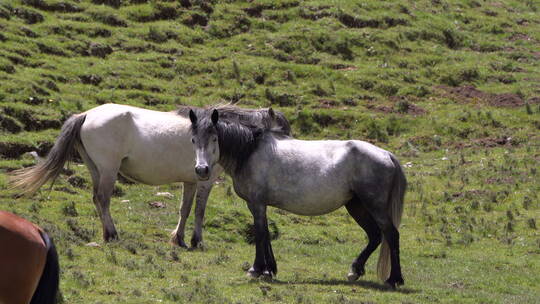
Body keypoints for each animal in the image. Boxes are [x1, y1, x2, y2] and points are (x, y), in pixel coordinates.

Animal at [9, 103, 292, 248]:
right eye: (283, 132)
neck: (214, 136)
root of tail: (86, 114)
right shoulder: (206, 181)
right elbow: (199, 211)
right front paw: (196, 240)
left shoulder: (191, 180)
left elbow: (185, 209)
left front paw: (178, 239)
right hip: (109, 170)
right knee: (103, 199)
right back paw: (112, 235)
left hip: (96, 169)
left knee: (96, 199)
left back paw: (107, 234)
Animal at [186, 108, 404, 288]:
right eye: (193, 140)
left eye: (215, 139)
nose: (201, 170)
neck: (250, 151)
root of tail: (387, 154)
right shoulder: (257, 205)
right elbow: (266, 233)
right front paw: (269, 270)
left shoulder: (257, 203)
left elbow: (260, 234)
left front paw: (256, 270)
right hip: (356, 205)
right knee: (375, 235)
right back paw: (354, 271)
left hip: (374, 205)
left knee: (391, 234)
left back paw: (394, 279)